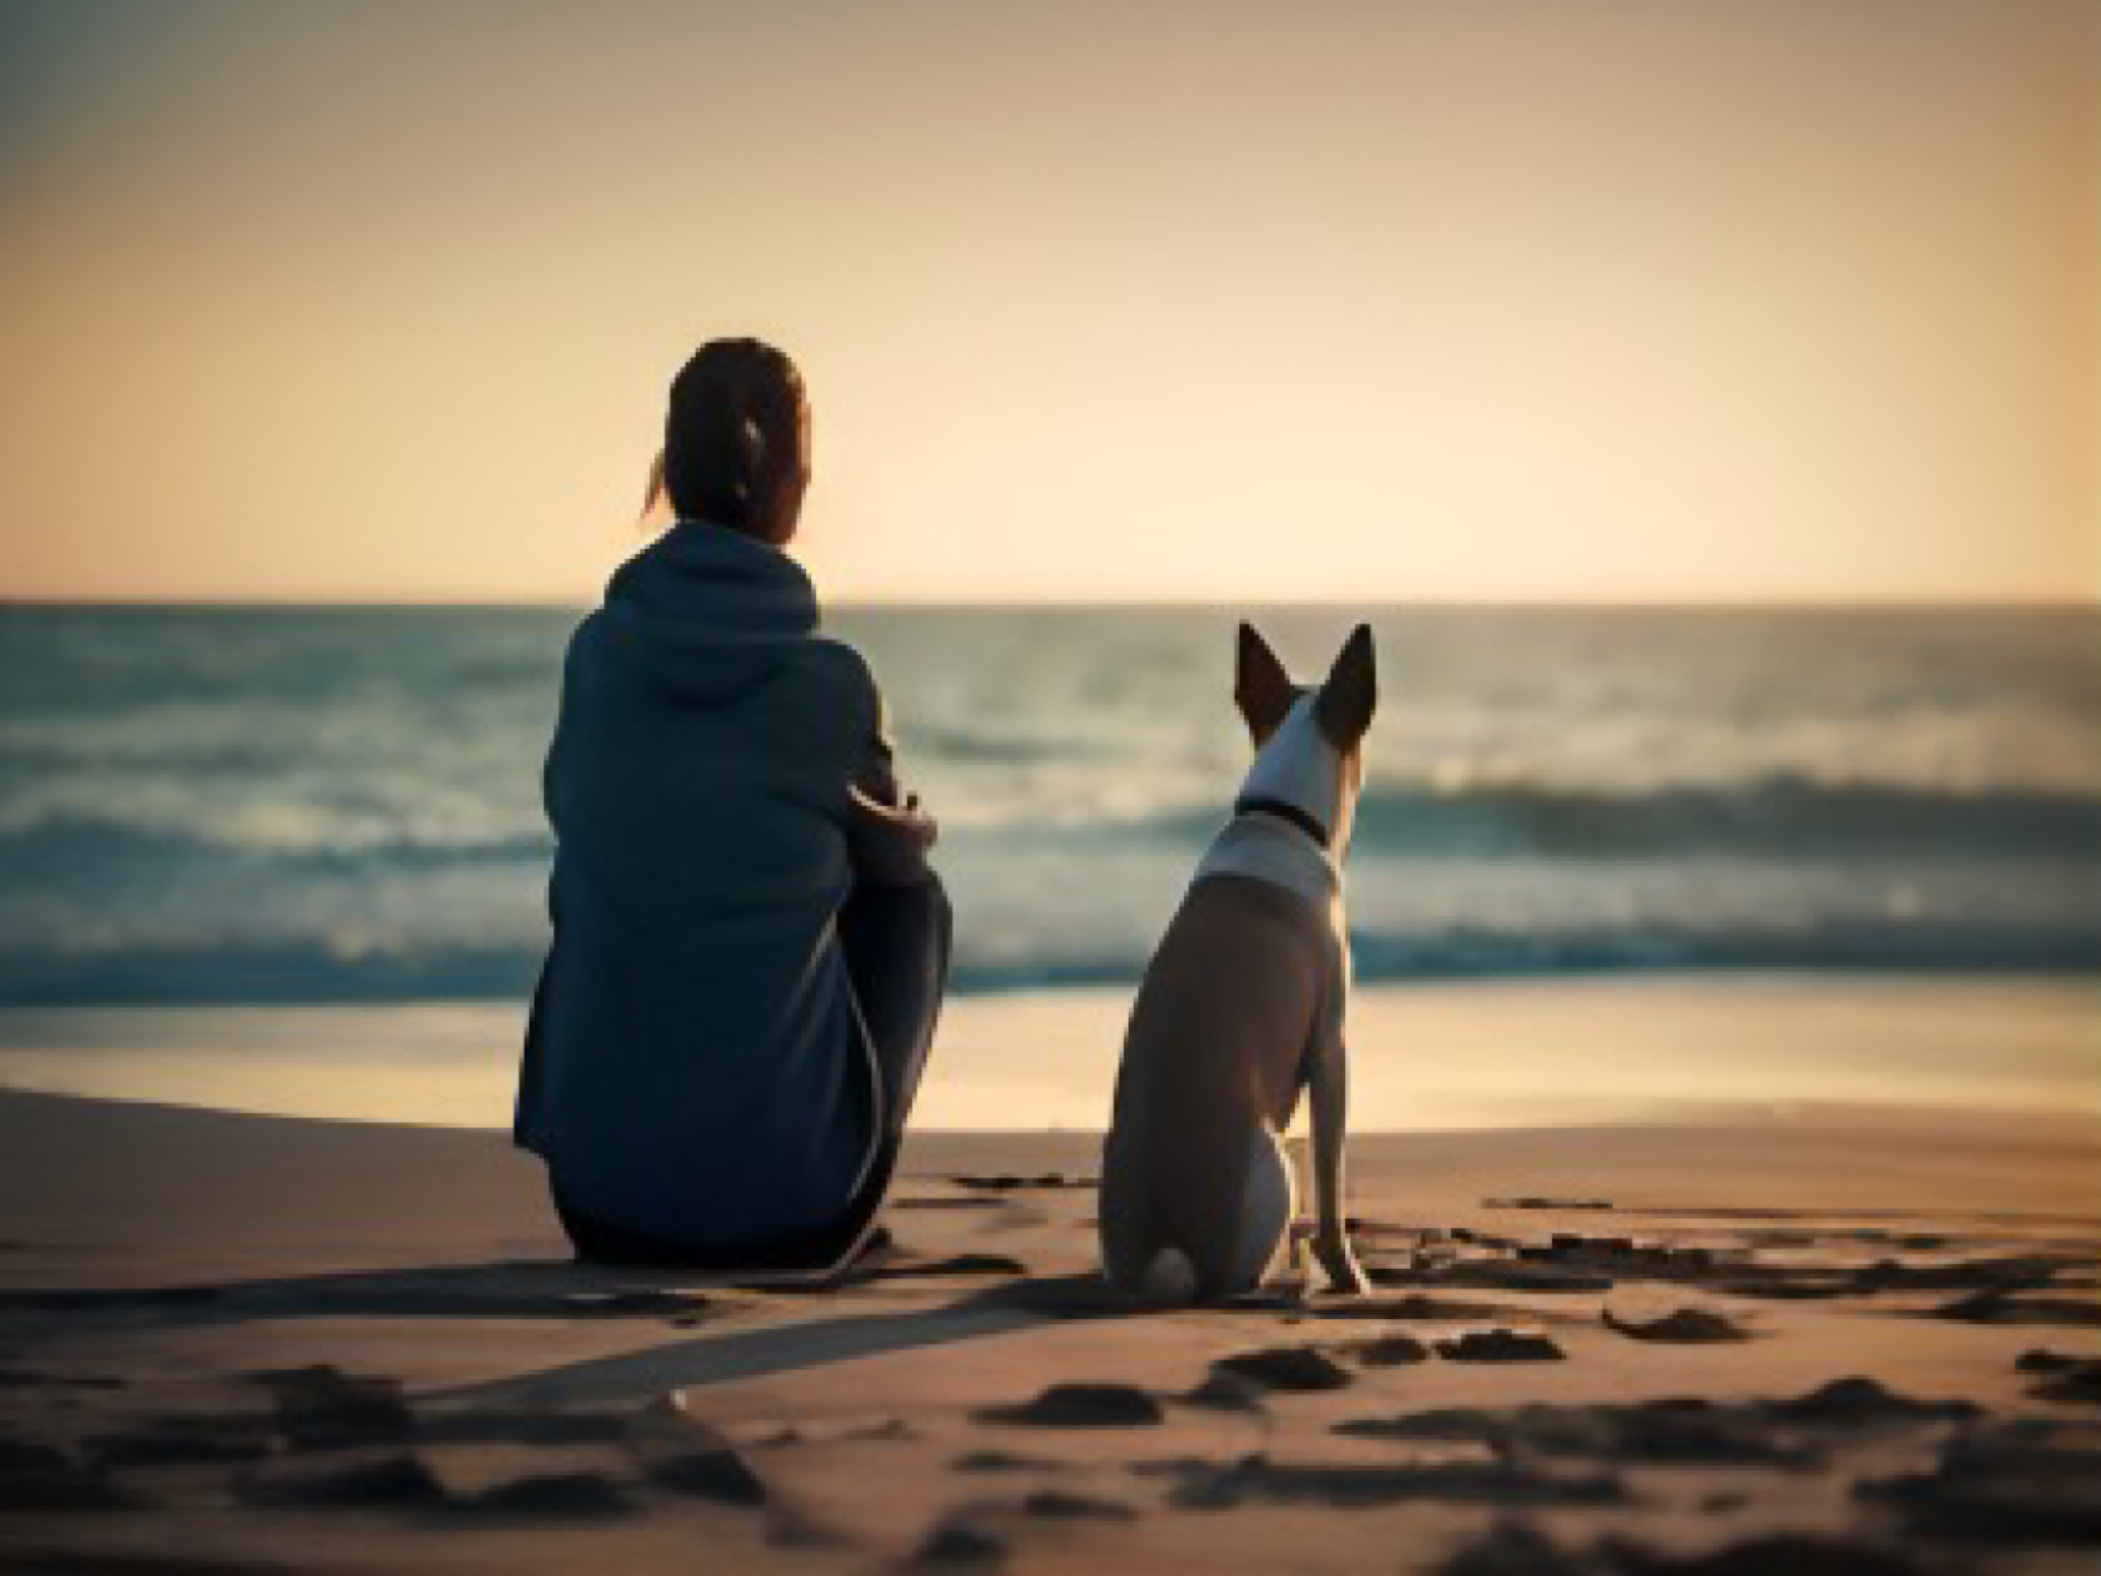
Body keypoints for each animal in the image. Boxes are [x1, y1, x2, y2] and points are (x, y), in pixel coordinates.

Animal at [1100, 621, 1378, 1302]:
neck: (1280, 819)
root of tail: (1164, 1253)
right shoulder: (1331, 1050)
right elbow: (1333, 1180)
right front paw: (1348, 1272)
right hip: (1273, 1163)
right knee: (1250, 1265)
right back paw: (1287, 1262)